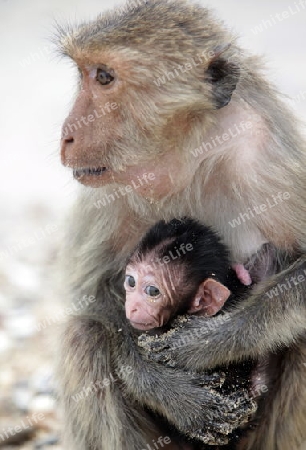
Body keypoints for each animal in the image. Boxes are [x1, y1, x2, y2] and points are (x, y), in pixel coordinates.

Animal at [58, 0, 306, 450]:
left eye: (104, 77)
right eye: (86, 73)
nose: (68, 135)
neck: (186, 155)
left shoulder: (267, 156)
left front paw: (204, 343)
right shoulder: (106, 184)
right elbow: (91, 293)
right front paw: (165, 387)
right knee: (83, 335)